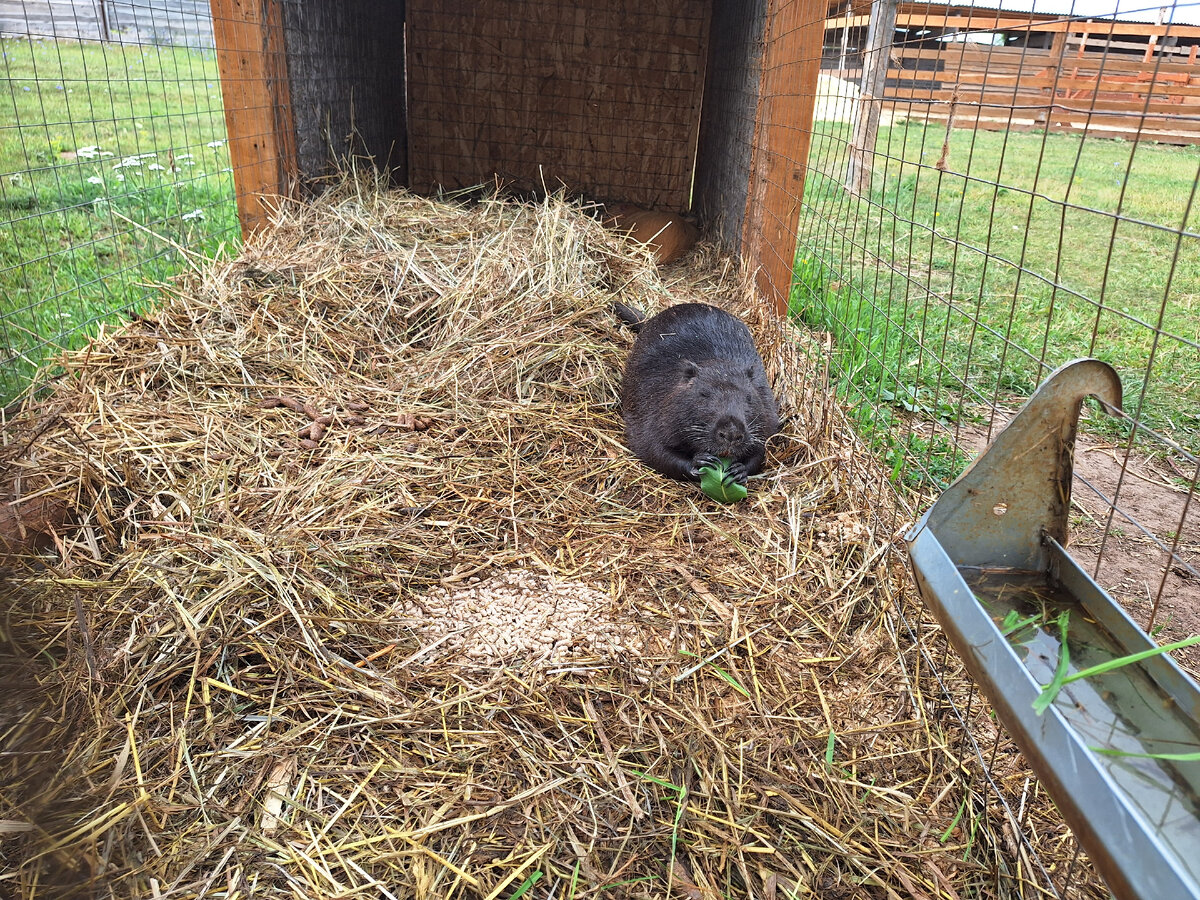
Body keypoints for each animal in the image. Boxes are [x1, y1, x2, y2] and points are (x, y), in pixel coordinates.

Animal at [619, 303, 777, 487]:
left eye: (748, 398)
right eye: (704, 394)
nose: (731, 434)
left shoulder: (765, 411)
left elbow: (761, 451)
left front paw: (738, 470)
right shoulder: (652, 405)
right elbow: (653, 448)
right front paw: (700, 462)